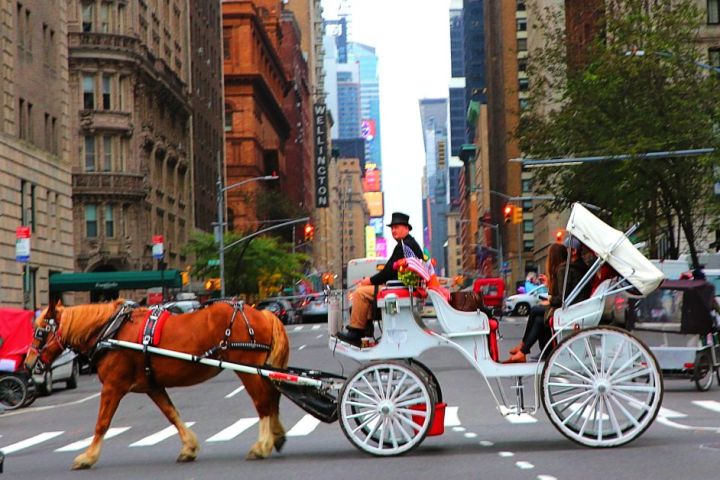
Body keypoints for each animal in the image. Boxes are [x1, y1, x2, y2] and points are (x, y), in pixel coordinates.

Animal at [25, 300, 290, 468]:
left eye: (39, 333)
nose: (27, 364)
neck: (110, 332)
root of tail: (262, 313)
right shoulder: (152, 386)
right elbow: (172, 415)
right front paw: (189, 448)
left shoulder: (112, 386)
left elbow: (102, 423)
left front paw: (88, 457)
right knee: (273, 397)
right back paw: (276, 437)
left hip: (248, 370)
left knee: (263, 402)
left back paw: (262, 445)